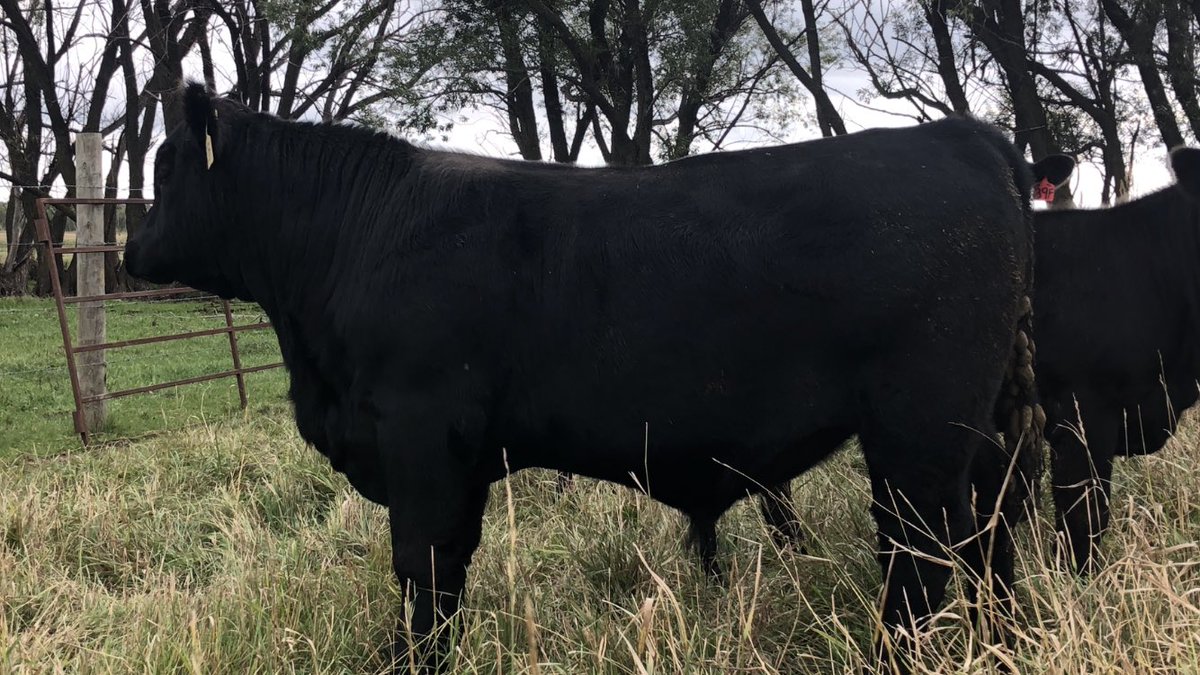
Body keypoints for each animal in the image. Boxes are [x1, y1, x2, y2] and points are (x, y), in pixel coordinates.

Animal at [124, 82, 1063, 672]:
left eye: (166, 167)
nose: (131, 251)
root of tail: (959, 135)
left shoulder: (421, 439)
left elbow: (422, 566)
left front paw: (411, 661)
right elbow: (446, 569)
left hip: (919, 430)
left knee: (922, 554)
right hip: (980, 435)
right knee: (990, 542)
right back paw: (1003, 642)